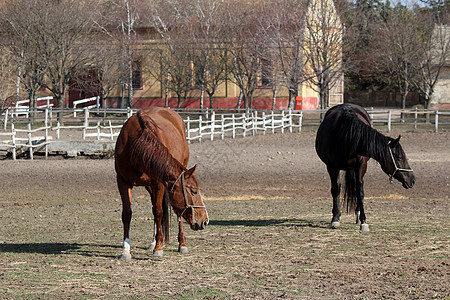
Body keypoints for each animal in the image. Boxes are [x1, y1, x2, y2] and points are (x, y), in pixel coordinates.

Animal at [114, 106, 209, 258]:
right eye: (194, 191)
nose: (205, 220)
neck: (136, 147)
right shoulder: (123, 182)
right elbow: (127, 213)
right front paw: (126, 250)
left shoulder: (159, 184)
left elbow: (159, 212)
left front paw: (158, 247)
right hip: (149, 186)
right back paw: (153, 242)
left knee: (173, 214)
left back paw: (182, 244)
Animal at [316, 103, 414, 232]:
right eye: (399, 158)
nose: (412, 179)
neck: (345, 135)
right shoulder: (331, 167)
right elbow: (336, 189)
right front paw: (335, 219)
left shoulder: (361, 165)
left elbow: (360, 191)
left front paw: (363, 221)